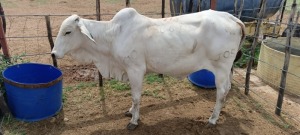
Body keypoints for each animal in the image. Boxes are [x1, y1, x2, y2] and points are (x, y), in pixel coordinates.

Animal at [51, 7, 244, 130]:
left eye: (68, 32)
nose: (53, 53)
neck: (113, 34)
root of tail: (232, 18)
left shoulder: (135, 69)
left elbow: (136, 97)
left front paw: (134, 121)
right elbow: (134, 98)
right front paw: (130, 112)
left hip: (221, 68)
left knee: (221, 91)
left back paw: (212, 119)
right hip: (227, 70)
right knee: (227, 89)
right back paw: (220, 111)